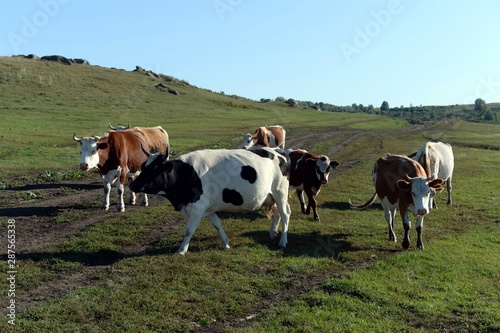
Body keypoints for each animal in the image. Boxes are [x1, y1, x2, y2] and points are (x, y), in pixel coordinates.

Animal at [131, 147, 292, 253]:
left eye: (154, 169)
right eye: (143, 166)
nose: (133, 184)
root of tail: (279, 151)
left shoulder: (198, 206)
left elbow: (189, 230)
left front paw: (182, 250)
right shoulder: (208, 208)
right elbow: (217, 225)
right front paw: (225, 243)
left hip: (280, 192)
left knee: (285, 214)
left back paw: (283, 241)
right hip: (270, 197)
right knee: (278, 213)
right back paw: (273, 233)